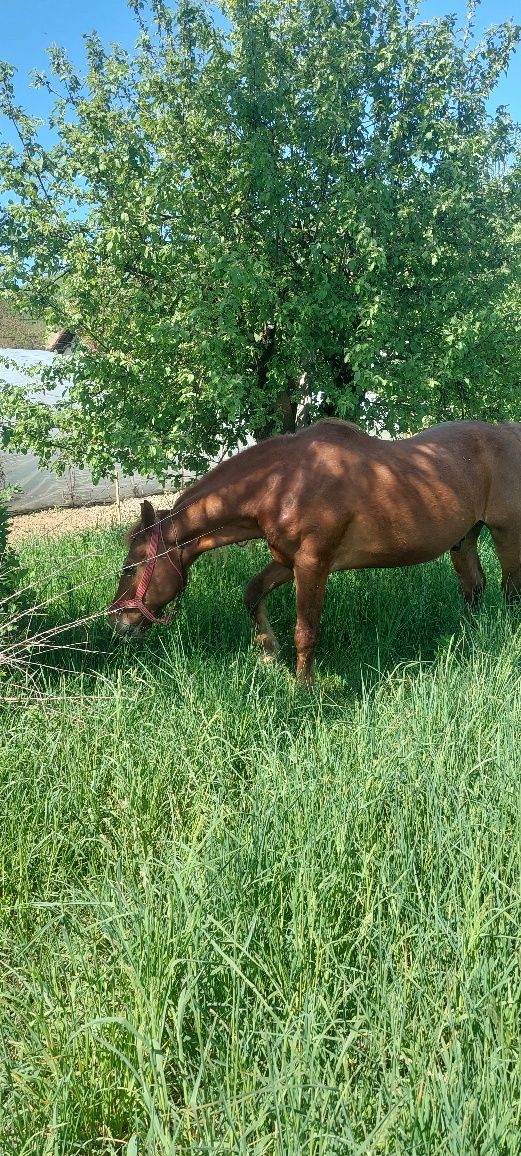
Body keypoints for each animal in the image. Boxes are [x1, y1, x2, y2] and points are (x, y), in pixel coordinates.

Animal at [108, 420, 521, 679]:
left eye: (129, 568)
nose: (117, 624)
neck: (282, 482)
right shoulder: (287, 561)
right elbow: (252, 593)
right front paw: (268, 654)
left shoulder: (313, 565)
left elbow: (305, 632)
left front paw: (302, 690)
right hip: (464, 538)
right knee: (474, 588)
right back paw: (467, 642)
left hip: (507, 536)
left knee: (510, 593)